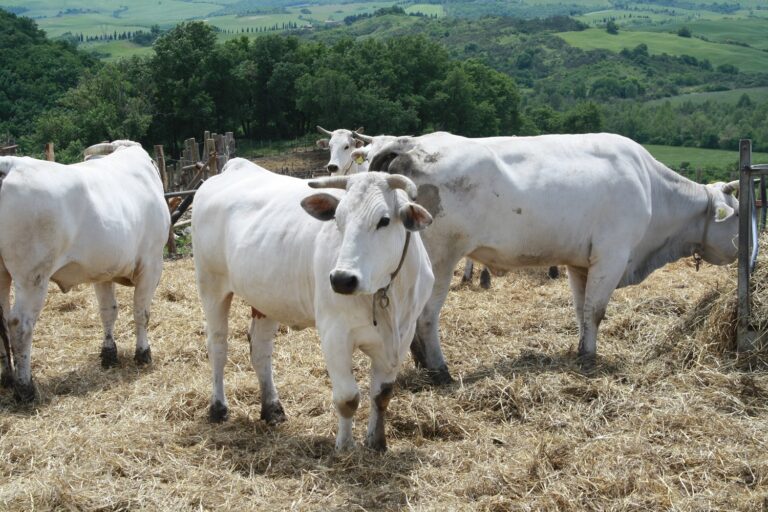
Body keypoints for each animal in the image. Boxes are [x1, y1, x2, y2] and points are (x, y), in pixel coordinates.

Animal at [0, 140, 170, 400]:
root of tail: (10, 164)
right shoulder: (151, 265)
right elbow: (141, 312)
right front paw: (143, 353)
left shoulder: (103, 271)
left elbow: (108, 311)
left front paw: (109, 354)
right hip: (32, 277)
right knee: (20, 325)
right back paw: (25, 388)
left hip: (3, 275)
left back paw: (8, 378)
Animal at [190, 164, 432, 452]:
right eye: (337, 219)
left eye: (384, 220)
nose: (342, 279)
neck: (386, 295)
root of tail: (234, 167)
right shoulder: (334, 333)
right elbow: (348, 398)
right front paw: (344, 447)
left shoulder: (402, 336)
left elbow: (381, 395)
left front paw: (376, 443)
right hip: (211, 285)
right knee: (217, 346)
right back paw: (218, 408)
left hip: (265, 299)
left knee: (260, 349)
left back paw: (272, 409)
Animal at [368, 133, 740, 384]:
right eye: (737, 214)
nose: (743, 249)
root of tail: (408, 143)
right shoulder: (612, 255)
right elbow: (596, 311)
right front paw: (590, 358)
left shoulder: (580, 263)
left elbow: (582, 311)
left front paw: (582, 350)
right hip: (440, 259)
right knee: (426, 316)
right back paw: (439, 369)